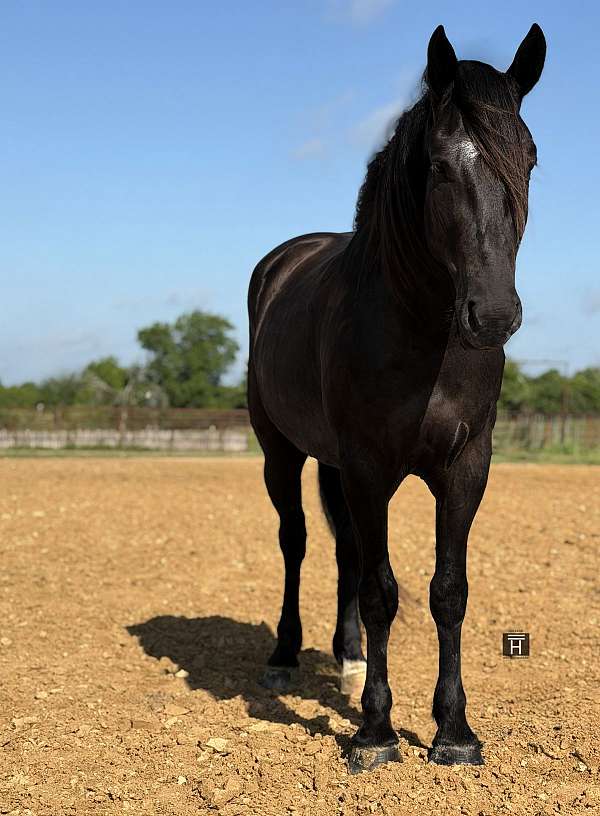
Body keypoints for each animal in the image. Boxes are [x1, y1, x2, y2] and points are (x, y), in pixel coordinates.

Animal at [247, 24, 546, 773]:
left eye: (529, 158)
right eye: (437, 165)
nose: (493, 316)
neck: (419, 332)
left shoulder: (465, 468)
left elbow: (448, 591)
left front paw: (454, 731)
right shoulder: (368, 467)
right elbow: (383, 591)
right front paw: (376, 732)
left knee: (345, 551)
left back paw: (349, 659)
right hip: (281, 452)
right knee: (296, 541)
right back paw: (285, 655)